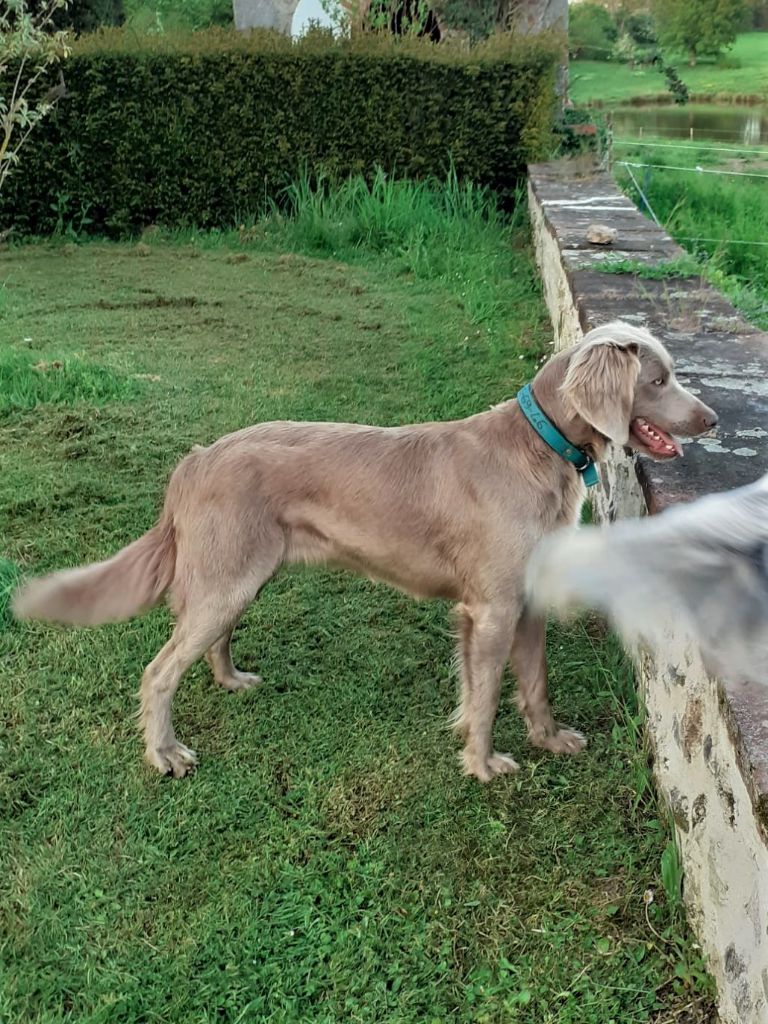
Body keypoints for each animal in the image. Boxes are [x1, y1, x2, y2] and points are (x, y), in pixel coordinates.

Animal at [12, 323, 720, 778]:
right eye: (658, 379)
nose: (712, 420)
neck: (536, 447)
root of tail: (195, 459)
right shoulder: (490, 608)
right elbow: (488, 696)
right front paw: (483, 764)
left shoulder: (526, 600)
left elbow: (534, 684)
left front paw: (549, 740)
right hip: (226, 579)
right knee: (158, 672)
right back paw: (165, 754)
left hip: (239, 577)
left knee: (210, 641)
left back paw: (231, 681)